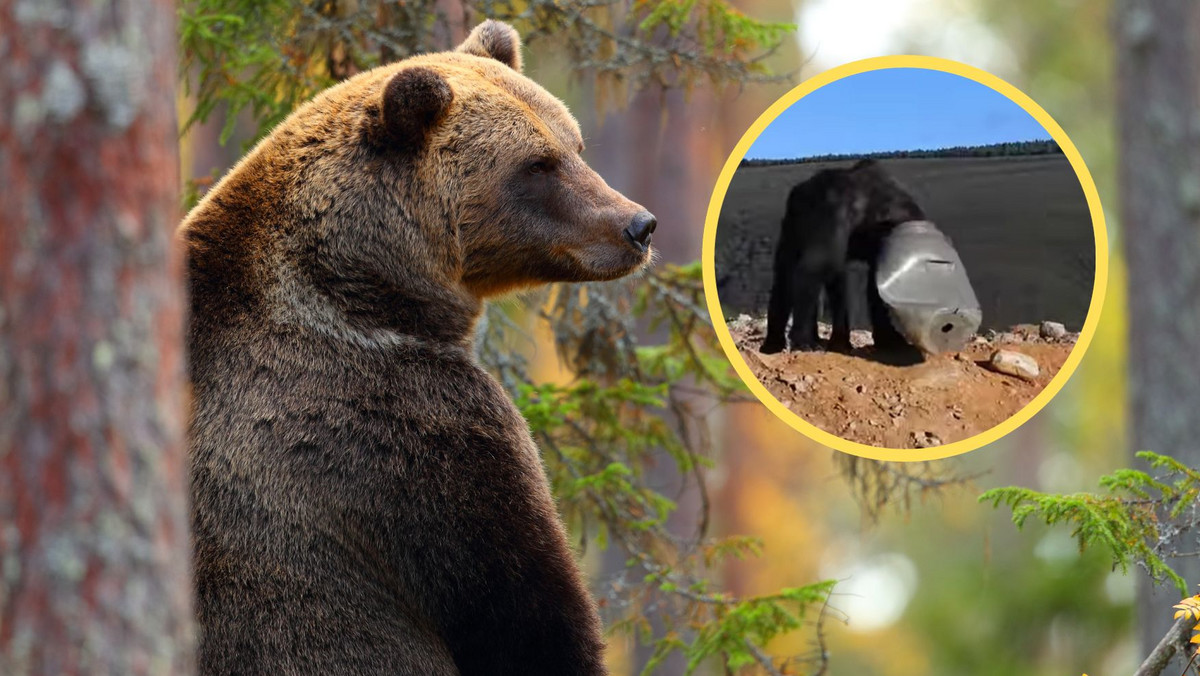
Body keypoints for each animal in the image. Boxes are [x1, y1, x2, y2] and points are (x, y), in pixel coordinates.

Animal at [177, 18, 657, 672]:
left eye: (575, 145)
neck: (369, 290)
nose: (638, 225)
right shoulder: (410, 431)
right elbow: (525, 612)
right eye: (537, 164)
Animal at [763, 159, 921, 355]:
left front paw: (889, 340)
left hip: (792, 227)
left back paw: (773, 344)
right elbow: (822, 266)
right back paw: (805, 341)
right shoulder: (833, 209)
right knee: (809, 269)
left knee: (784, 274)